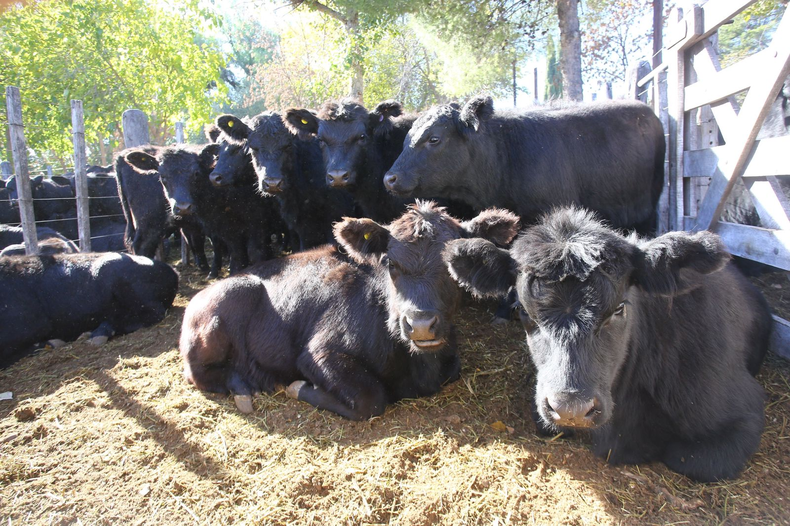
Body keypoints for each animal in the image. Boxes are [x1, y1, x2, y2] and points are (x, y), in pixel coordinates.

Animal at [183, 202, 524, 420]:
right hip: (227, 305)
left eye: (451, 265)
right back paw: (243, 385)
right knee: (197, 372)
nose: (421, 324)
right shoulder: (319, 353)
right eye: (390, 263)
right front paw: (298, 386)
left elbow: (453, 369)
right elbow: (370, 399)